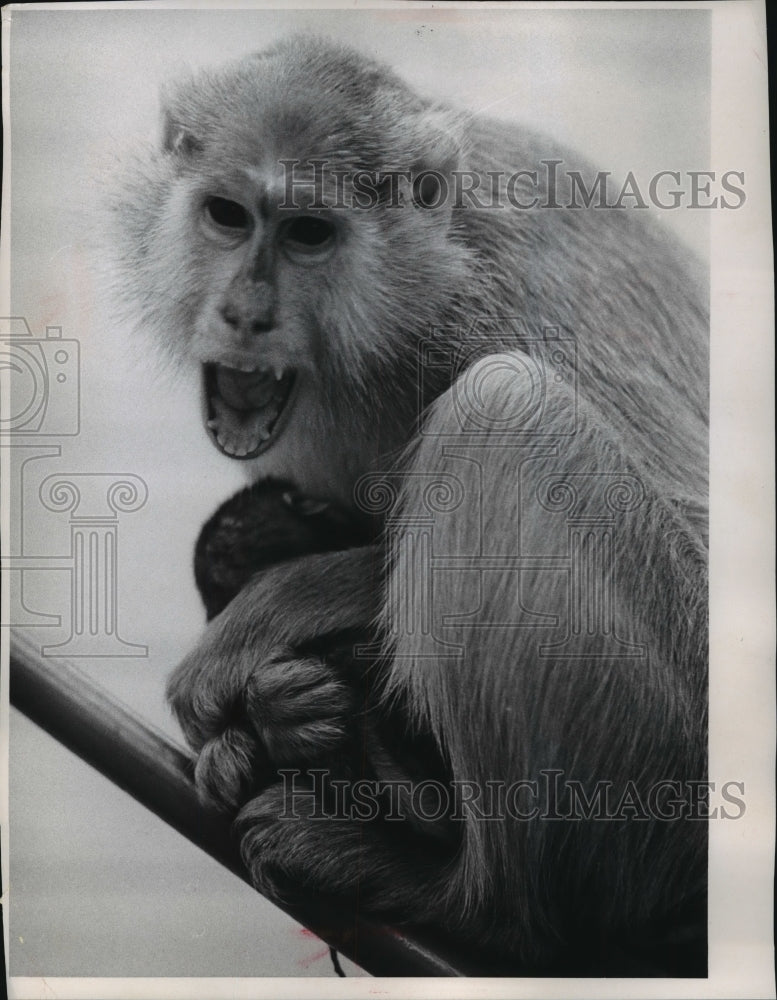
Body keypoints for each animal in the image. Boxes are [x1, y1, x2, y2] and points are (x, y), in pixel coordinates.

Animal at [109, 33, 708, 976]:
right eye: (227, 216)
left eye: (308, 234)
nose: (244, 314)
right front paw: (266, 724)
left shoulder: (496, 299)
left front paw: (268, 620)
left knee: (503, 410)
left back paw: (475, 906)